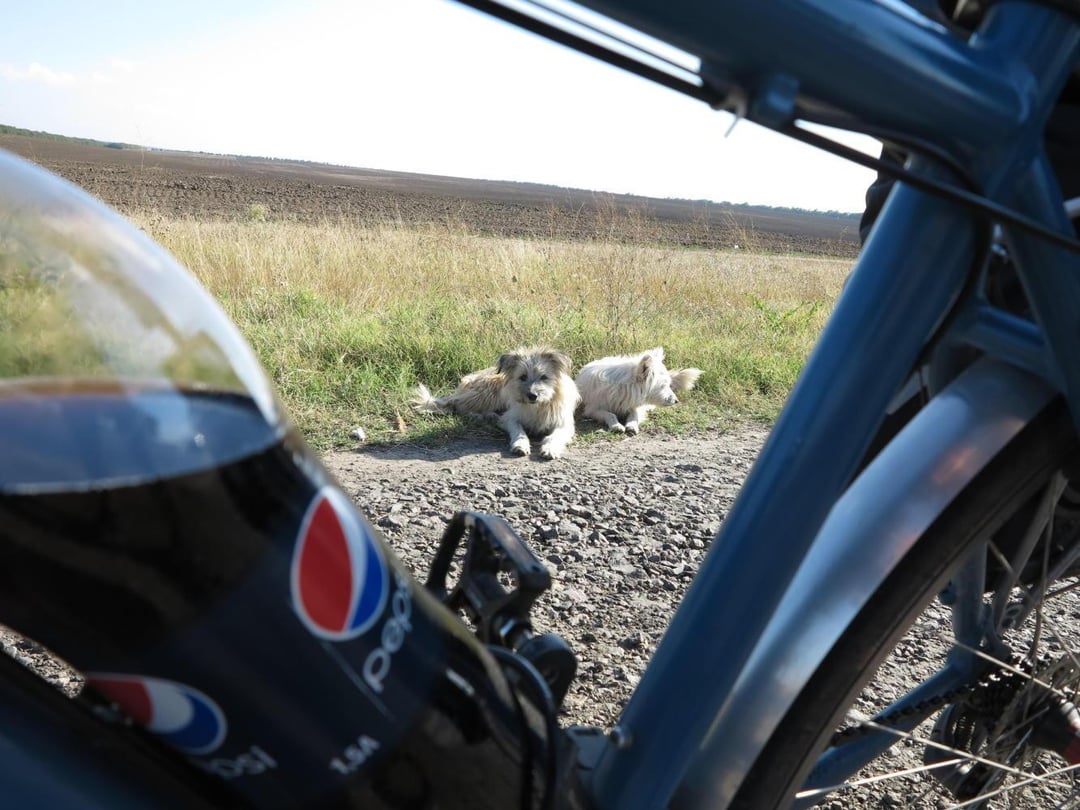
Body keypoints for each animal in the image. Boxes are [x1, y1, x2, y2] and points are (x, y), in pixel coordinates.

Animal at [411, 347, 580, 459]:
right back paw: (482, 416)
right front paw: (520, 445)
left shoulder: (564, 424)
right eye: (522, 377)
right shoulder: (511, 418)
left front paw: (550, 448)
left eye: (544, 377)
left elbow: (555, 435)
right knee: (459, 406)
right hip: (489, 390)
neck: (538, 406)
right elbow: (519, 431)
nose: (532, 395)